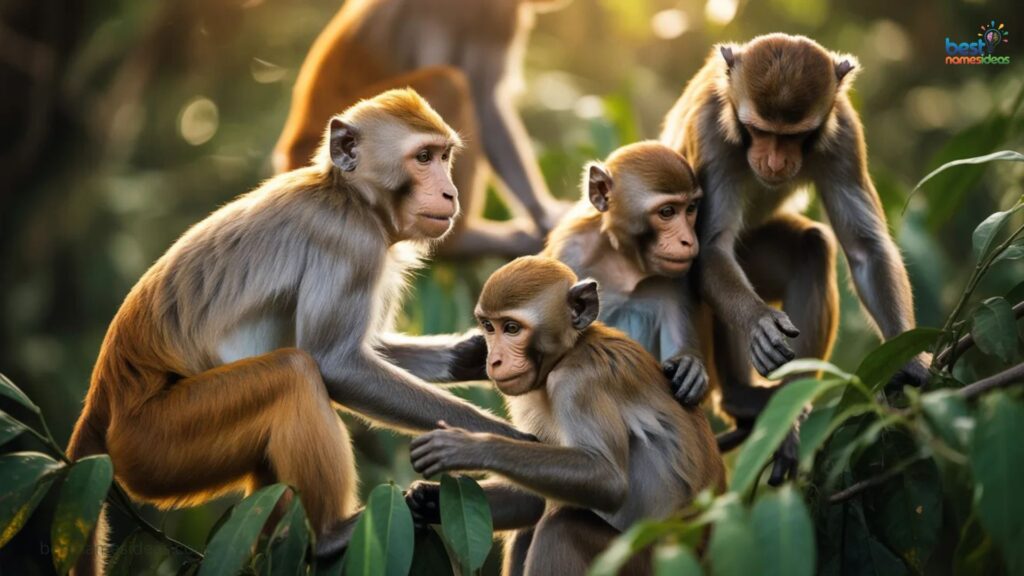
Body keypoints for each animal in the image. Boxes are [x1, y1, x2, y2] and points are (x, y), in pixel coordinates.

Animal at [64, 89, 534, 576]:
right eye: (423, 157)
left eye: (444, 156)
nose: (449, 191)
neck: (349, 196)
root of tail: (102, 400)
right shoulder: (349, 243)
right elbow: (335, 362)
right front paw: (505, 443)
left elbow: (367, 348)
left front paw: (473, 355)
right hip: (159, 440)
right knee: (294, 372)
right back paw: (328, 536)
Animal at [406, 256, 725, 575]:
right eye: (488, 326)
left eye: (511, 328)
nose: (494, 360)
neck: (571, 351)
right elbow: (532, 497)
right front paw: (425, 499)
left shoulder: (579, 382)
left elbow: (607, 479)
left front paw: (467, 446)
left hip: (646, 561)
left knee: (562, 527)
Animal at [543, 141, 709, 407]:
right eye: (667, 212)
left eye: (691, 208)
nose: (687, 241)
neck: (623, 262)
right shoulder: (569, 252)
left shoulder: (679, 276)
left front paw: (690, 365)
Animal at [660, 33, 930, 483]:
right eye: (758, 130)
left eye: (795, 135)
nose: (774, 161)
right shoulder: (712, 130)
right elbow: (711, 248)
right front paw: (759, 323)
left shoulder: (843, 134)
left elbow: (866, 248)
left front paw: (906, 360)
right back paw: (741, 398)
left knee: (813, 247)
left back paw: (793, 403)